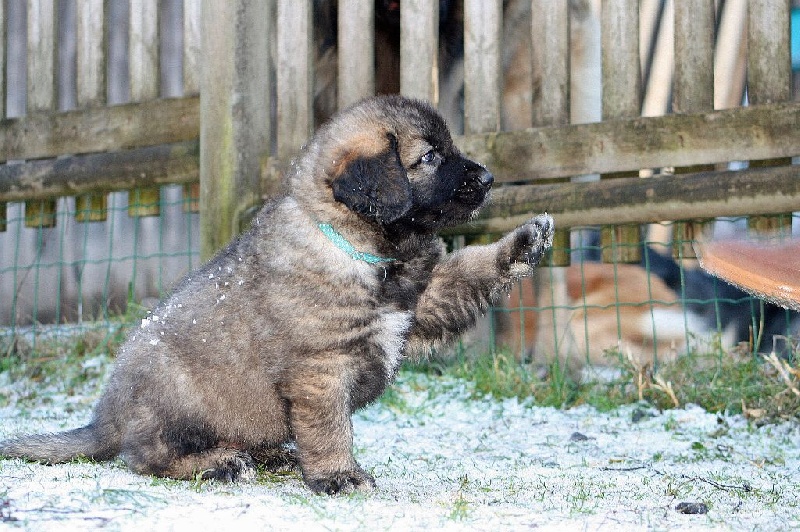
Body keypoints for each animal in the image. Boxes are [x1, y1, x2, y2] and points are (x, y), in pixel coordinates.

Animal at [0, 95, 554, 495]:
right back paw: (218, 464)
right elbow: (329, 427)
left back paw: (273, 456)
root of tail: (106, 417)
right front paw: (339, 476)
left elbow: (466, 272)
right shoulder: (320, 368)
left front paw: (525, 242)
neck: (364, 252)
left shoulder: (419, 305)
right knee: (145, 456)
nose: (489, 178)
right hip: (178, 397)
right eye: (431, 156)